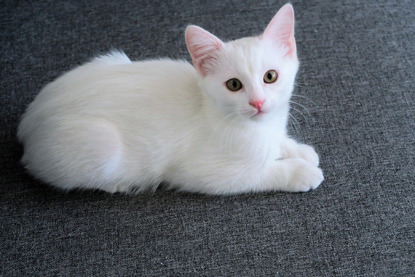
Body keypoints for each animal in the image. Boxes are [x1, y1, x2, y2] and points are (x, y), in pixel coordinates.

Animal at [17, 4, 324, 194]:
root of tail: (27, 122)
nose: (257, 103)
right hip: (101, 146)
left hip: (112, 59)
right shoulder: (203, 172)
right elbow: (259, 174)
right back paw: (117, 184)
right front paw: (300, 172)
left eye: (270, 76)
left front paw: (298, 150)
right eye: (234, 85)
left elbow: (279, 143)